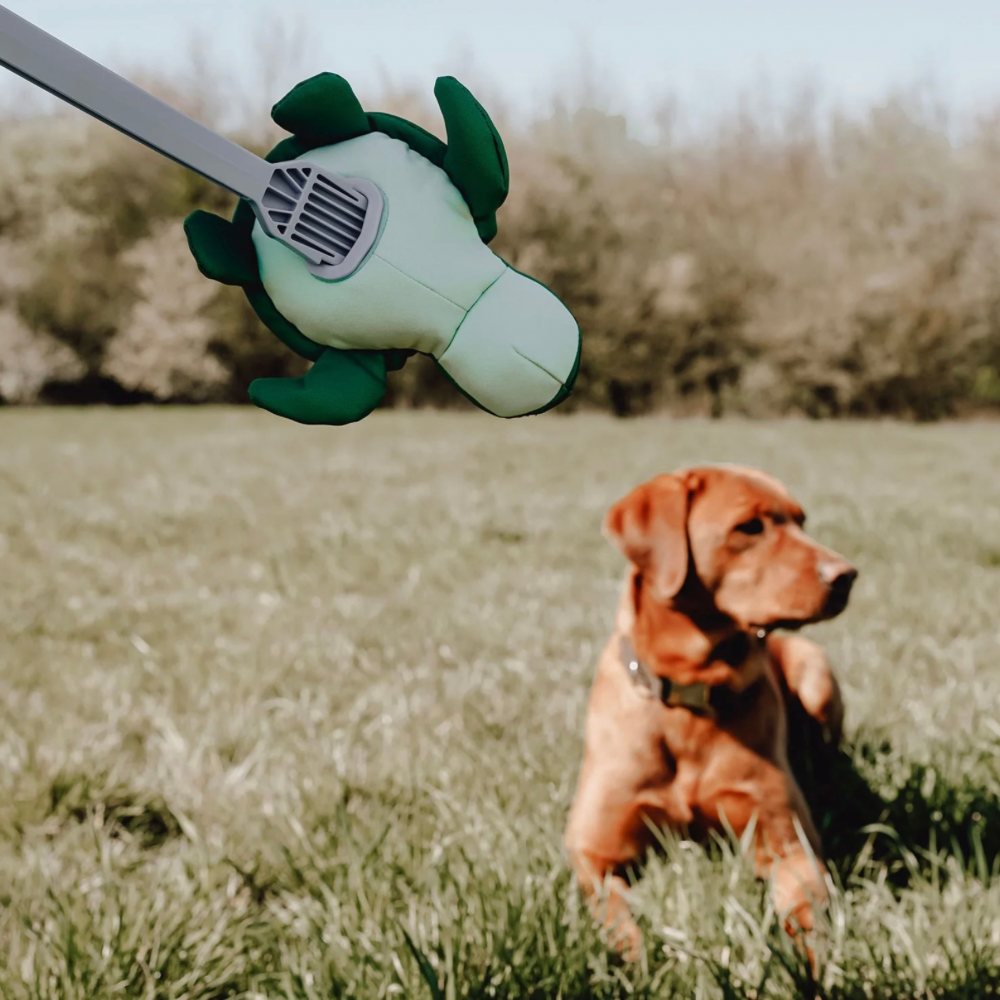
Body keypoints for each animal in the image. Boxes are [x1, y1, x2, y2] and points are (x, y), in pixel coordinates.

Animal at [568, 466, 856, 960]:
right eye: (750, 526)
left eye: (802, 522)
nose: (846, 575)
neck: (692, 692)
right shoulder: (591, 849)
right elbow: (615, 912)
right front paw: (636, 958)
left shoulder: (789, 844)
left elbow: (807, 914)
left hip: (814, 669)